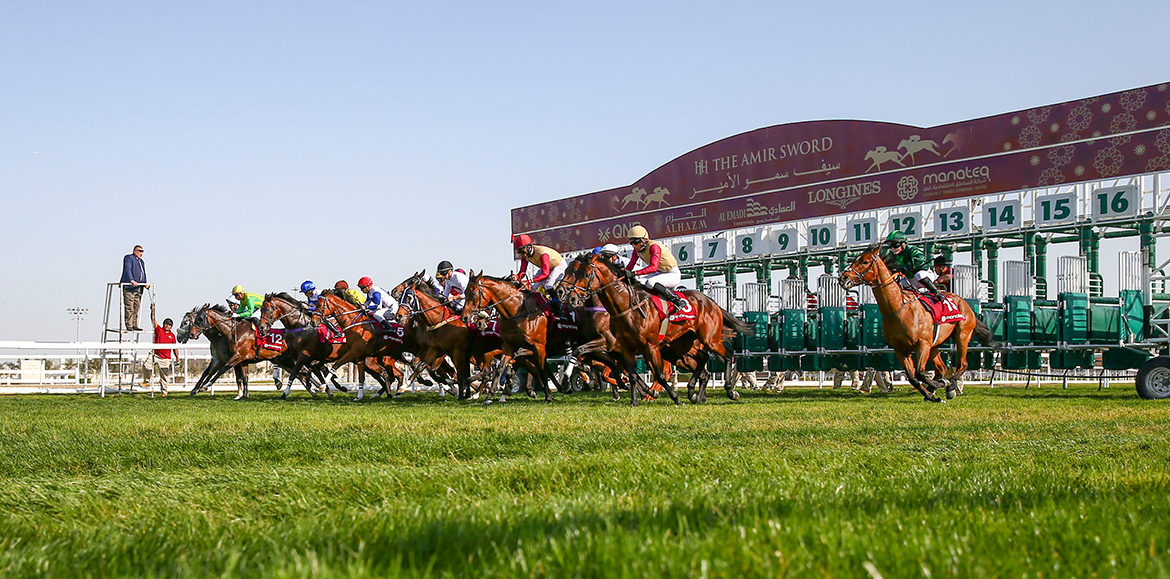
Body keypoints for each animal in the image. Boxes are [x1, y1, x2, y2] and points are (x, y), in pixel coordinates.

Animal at [554, 253, 753, 407]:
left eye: (586, 273)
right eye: (568, 271)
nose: (567, 294)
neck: (624, 307)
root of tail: (712, 302)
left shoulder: (641, 345)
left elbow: (658, 374)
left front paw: (673, 398)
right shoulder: (625, 348)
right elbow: (629, 374)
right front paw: (634, 399)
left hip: (708, 339)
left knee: (727, 355)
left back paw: (729, 391)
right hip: (680, 347)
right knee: (703, 362)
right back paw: (694, 394)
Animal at [842, 243, 996, 402]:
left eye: (865, 261)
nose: (844, 277)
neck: (898, 309)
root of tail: (965, 304)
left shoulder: (923, 344)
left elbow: (920, 373)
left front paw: (942, 386)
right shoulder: (900, 349)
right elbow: (912, 377)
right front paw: (930, 394)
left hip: (962, 335)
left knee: (962, 364)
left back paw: (950, 386)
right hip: (935, 345)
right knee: (941, 368)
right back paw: (935, 389)